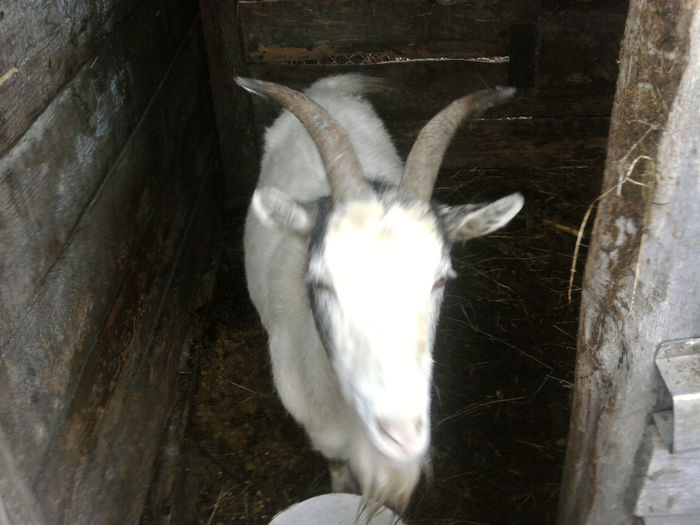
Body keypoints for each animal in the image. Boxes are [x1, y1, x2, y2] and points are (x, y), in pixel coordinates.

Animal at [237, 74, 523, 514]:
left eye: (440, 280)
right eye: (321, 281)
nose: (401, 436)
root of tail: (325, 90)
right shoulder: (324, 436)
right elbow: (339, 475)